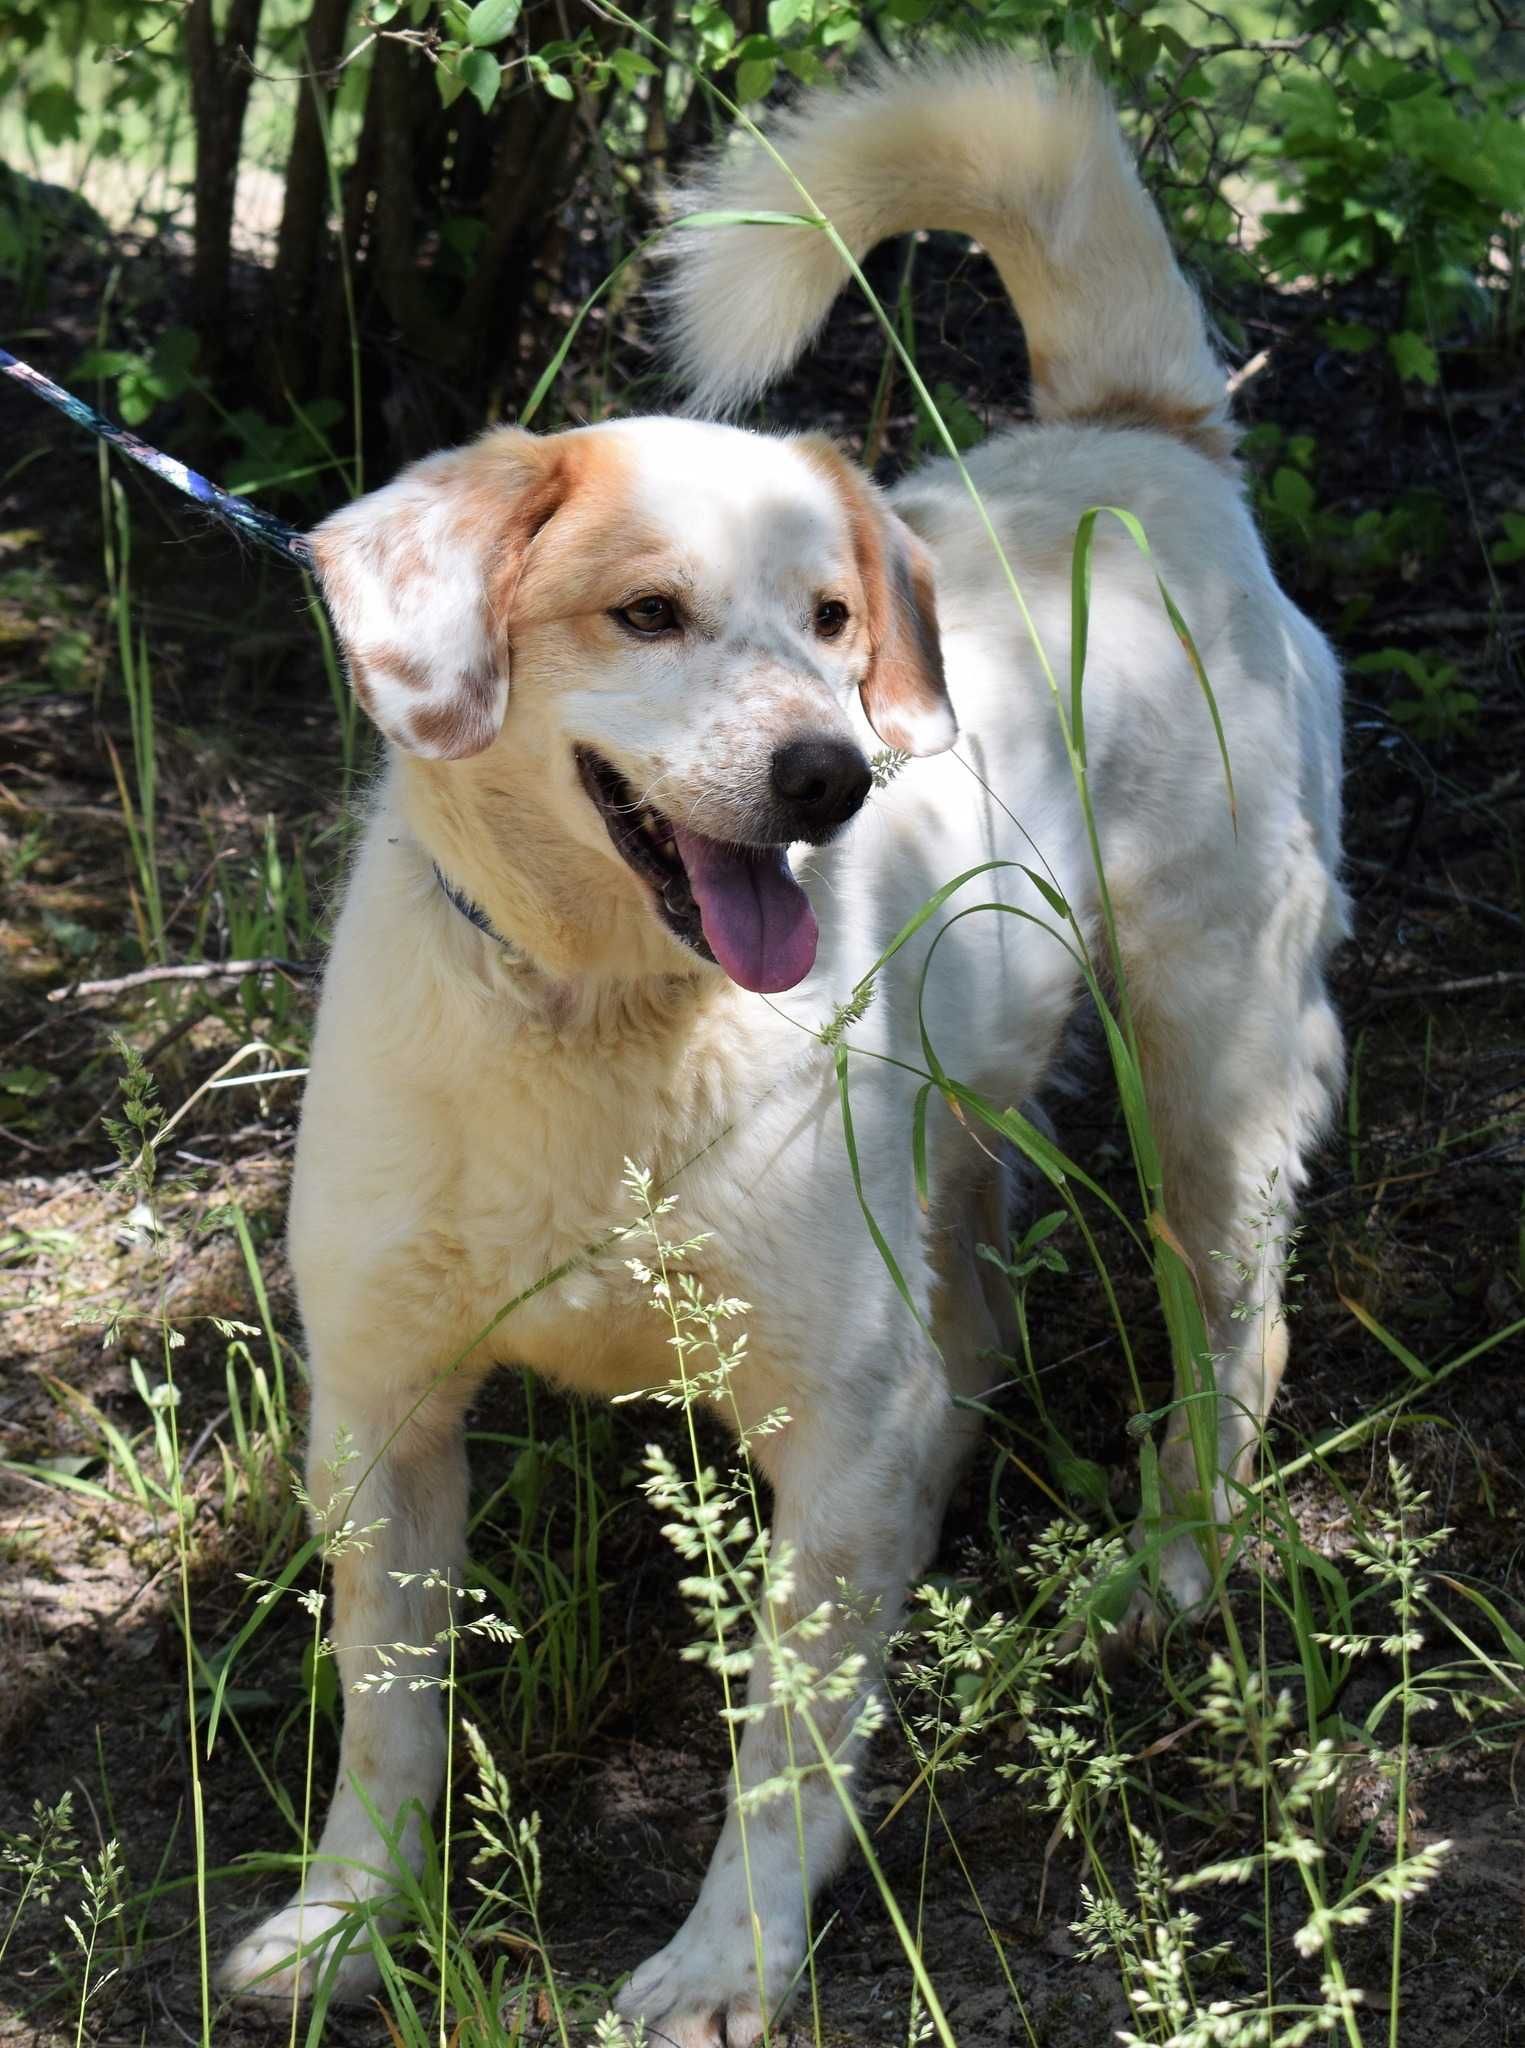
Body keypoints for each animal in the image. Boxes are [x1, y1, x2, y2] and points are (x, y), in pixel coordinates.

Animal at [223, 56, 1342, 2048]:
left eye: (832, 621)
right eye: (646, 612)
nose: (835, 774)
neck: (602, 1023)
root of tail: (1140, 443)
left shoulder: (831, 1419)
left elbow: (783, 1740)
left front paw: (723, 1961)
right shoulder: (381, 1406)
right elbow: (391, 1709)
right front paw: (352, 1917)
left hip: (1211, 1067)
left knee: (1230, 1326)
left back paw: (1174, 1556)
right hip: (964, 1125)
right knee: (980, 1328)